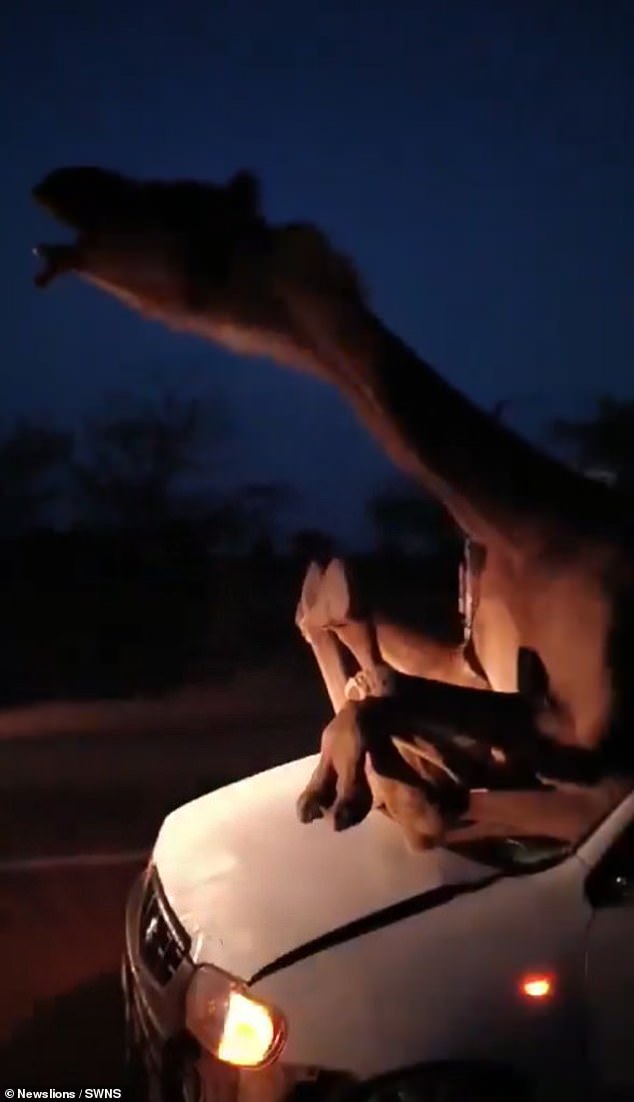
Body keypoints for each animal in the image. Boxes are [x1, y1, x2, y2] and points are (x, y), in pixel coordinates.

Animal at [31, 167, 634, 846]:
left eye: (182, 202)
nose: (59, 184)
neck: (524, 527)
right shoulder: (494, 676)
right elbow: (381, 687)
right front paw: (349, 780)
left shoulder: (596, 739)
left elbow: (399, 717)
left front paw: (351, 789)